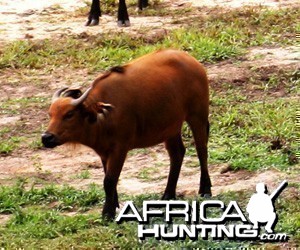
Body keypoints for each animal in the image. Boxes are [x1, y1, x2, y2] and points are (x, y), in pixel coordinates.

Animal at [41, 49, 211, 219]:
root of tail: (191, 60)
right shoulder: (104, 151)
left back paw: (205, 189)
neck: (102, 117)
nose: (46, 138)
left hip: (197, 116)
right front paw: (114, 205)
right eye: (50, 114)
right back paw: (168, 194)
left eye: (69, 114)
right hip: (171, 127)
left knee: (201, 150)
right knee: (177, 154)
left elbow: (109, 180)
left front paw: (107, 213)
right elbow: (108, 178)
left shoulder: (120, 149)